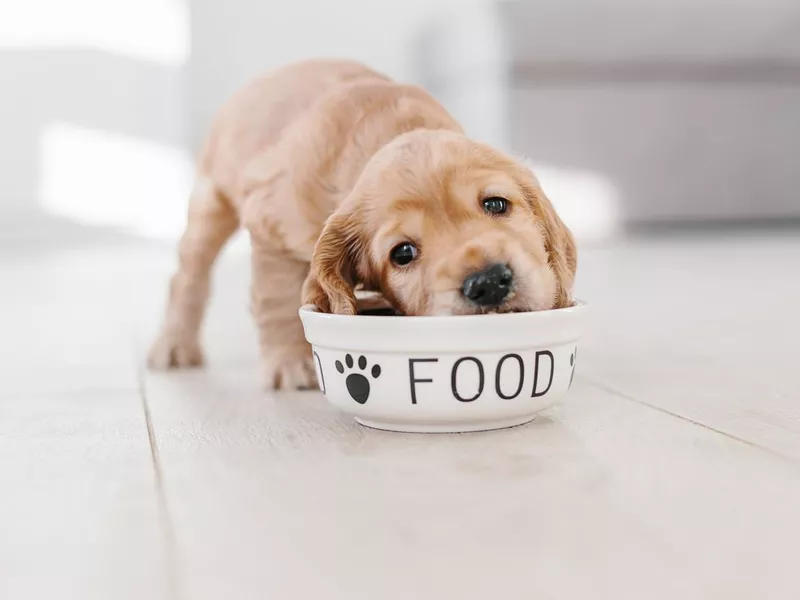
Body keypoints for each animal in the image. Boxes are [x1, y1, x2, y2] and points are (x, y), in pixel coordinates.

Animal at [148, 59, 576, 390]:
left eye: (496, 204)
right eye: (403, 253)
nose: (487, 283)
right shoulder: (271, 225)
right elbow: (277, 298)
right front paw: (289, 363)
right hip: (211, 203)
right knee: (187, 276)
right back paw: (174, 346)